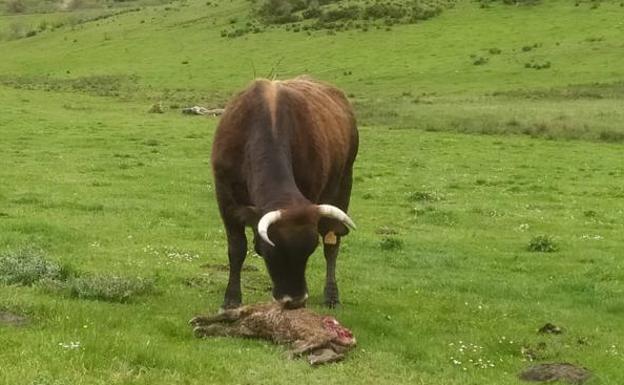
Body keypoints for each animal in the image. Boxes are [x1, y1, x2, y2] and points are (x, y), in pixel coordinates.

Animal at [213, 78, 358, 308]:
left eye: (310, 250)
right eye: (272, 250)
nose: (295, 301)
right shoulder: (225, 199)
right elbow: (237, 249)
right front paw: (231, 300)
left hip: (344, 185)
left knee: (332, 242)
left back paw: (332, 295)